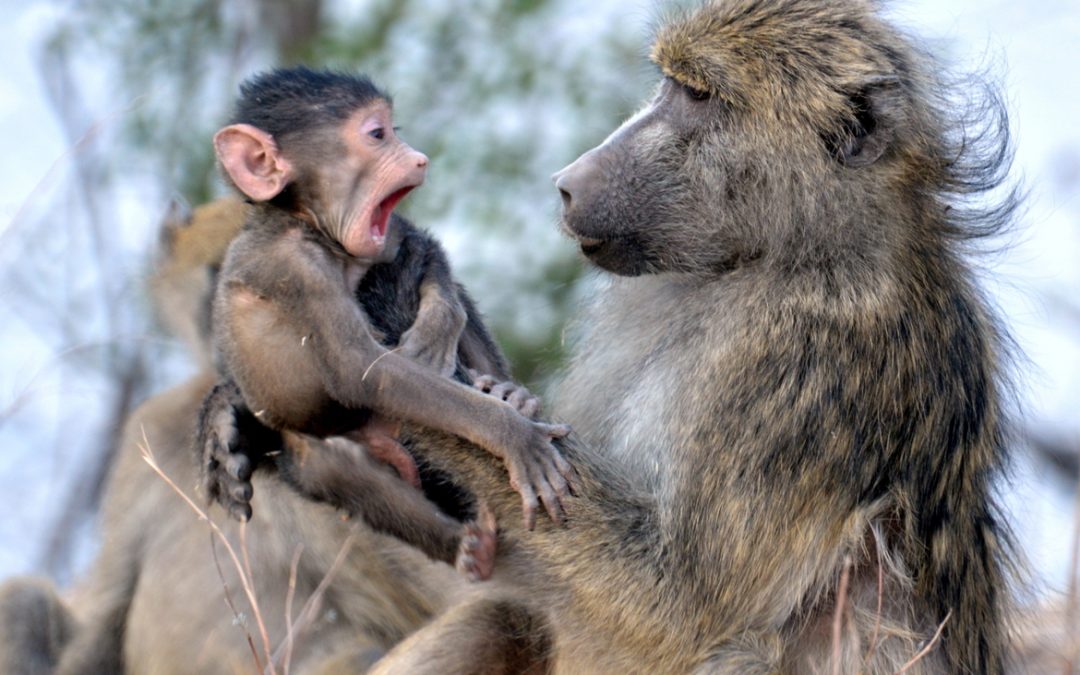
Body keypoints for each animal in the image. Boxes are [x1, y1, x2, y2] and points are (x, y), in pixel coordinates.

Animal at [201, 67, 573, 543]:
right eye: (378, 135)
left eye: (396, 131)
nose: (419, 158)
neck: (303, 221)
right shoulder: (294, 267)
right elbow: (361, 370)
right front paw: (513, 433)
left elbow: (413, 242)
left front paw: (439, 327)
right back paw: (469, 546)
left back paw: (511, 395)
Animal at [268, 1, 1019, 672]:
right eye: (670, 84)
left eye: (699, 95)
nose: (568, 183)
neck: (802, 251)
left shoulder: (805, 366)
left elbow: (678, 603)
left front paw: (405, 346)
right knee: (501, 617)